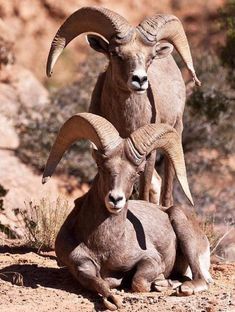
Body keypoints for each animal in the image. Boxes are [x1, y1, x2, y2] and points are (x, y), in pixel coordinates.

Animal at [42, 113, 211, 310]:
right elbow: (100, 283)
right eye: (101, 167)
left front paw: (156, 281)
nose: (115, 199)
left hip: (182, 228)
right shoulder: (80, 267)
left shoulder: (151, 260)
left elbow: (138, 282)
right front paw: (112, 300)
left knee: (199, 279)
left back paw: (173, 286)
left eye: (137, 172)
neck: (104, 246)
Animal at [46, 6, 200, 207]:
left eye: (151, 57)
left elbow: (143, 189)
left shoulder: (147, 155)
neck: (126, 121)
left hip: (176, 132)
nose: (140, 80)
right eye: (115, 54)